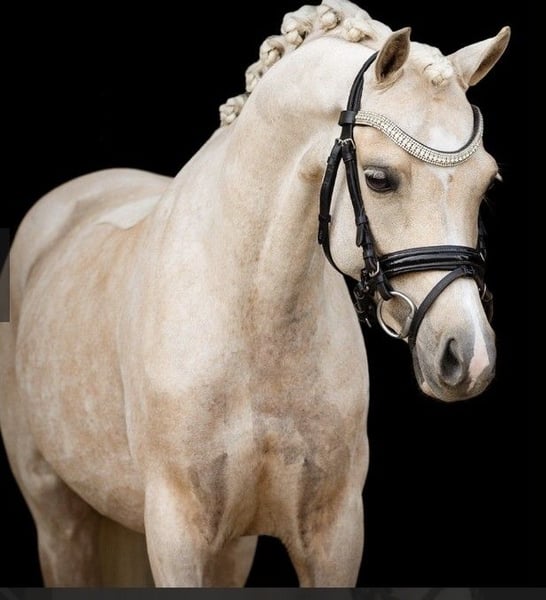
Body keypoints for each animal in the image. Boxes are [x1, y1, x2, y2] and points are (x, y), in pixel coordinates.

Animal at [0, 0, 510, 587]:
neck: (254, 319)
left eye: (488, 184)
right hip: (59, 520)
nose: (467, 356)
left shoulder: (333, 534)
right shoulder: (176, 535)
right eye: (380, 178)